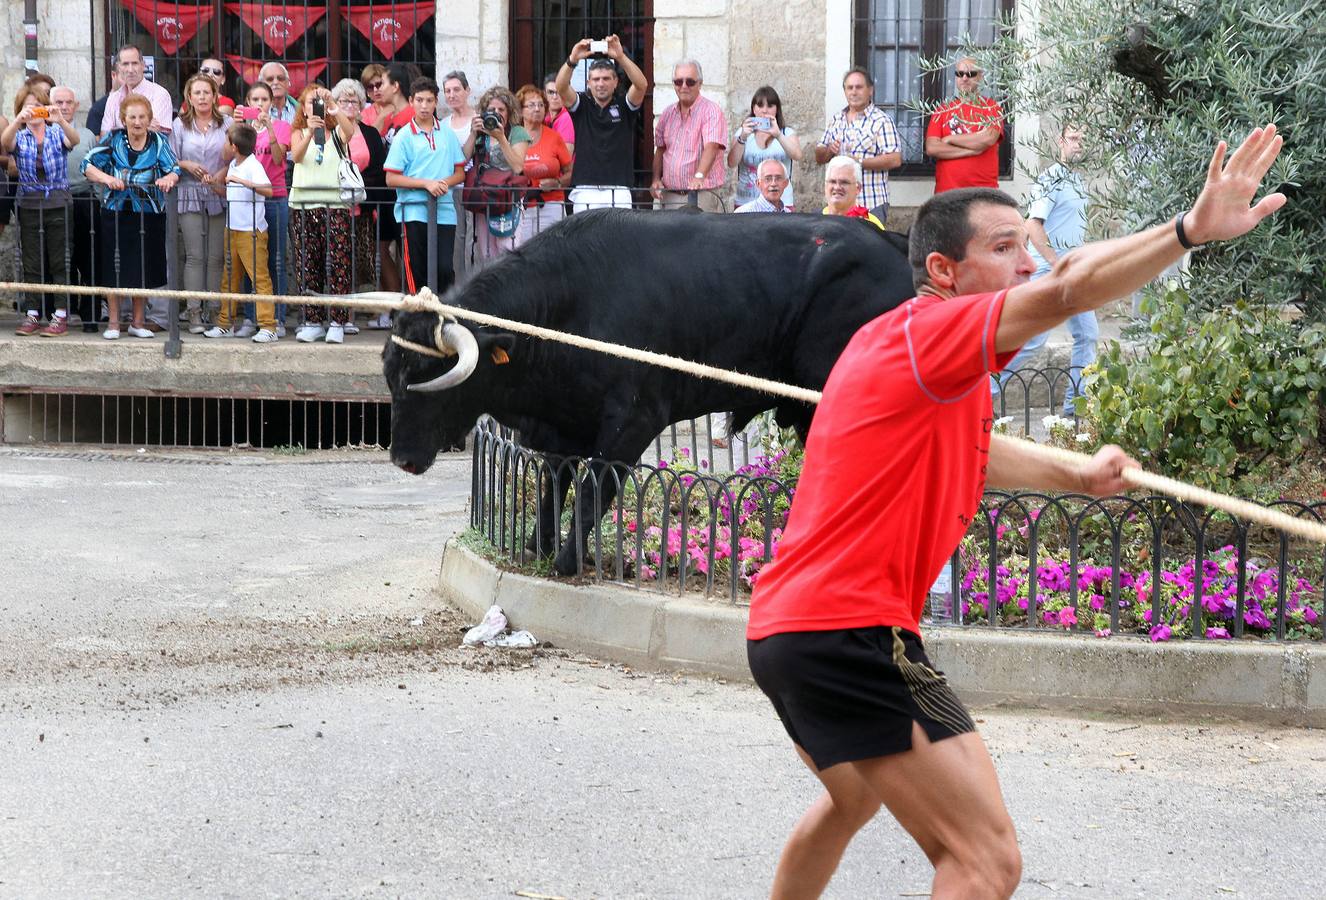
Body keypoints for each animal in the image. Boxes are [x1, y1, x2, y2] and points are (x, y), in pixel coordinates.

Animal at [379, 208, 912, 572]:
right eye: (391, 374)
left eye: (432, 381)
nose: (401, 458)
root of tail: (894, 247)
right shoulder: (561, 426)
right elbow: (556, 482)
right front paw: (539, 544)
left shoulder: (633, 420)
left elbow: (595, 488)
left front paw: (568, 560)